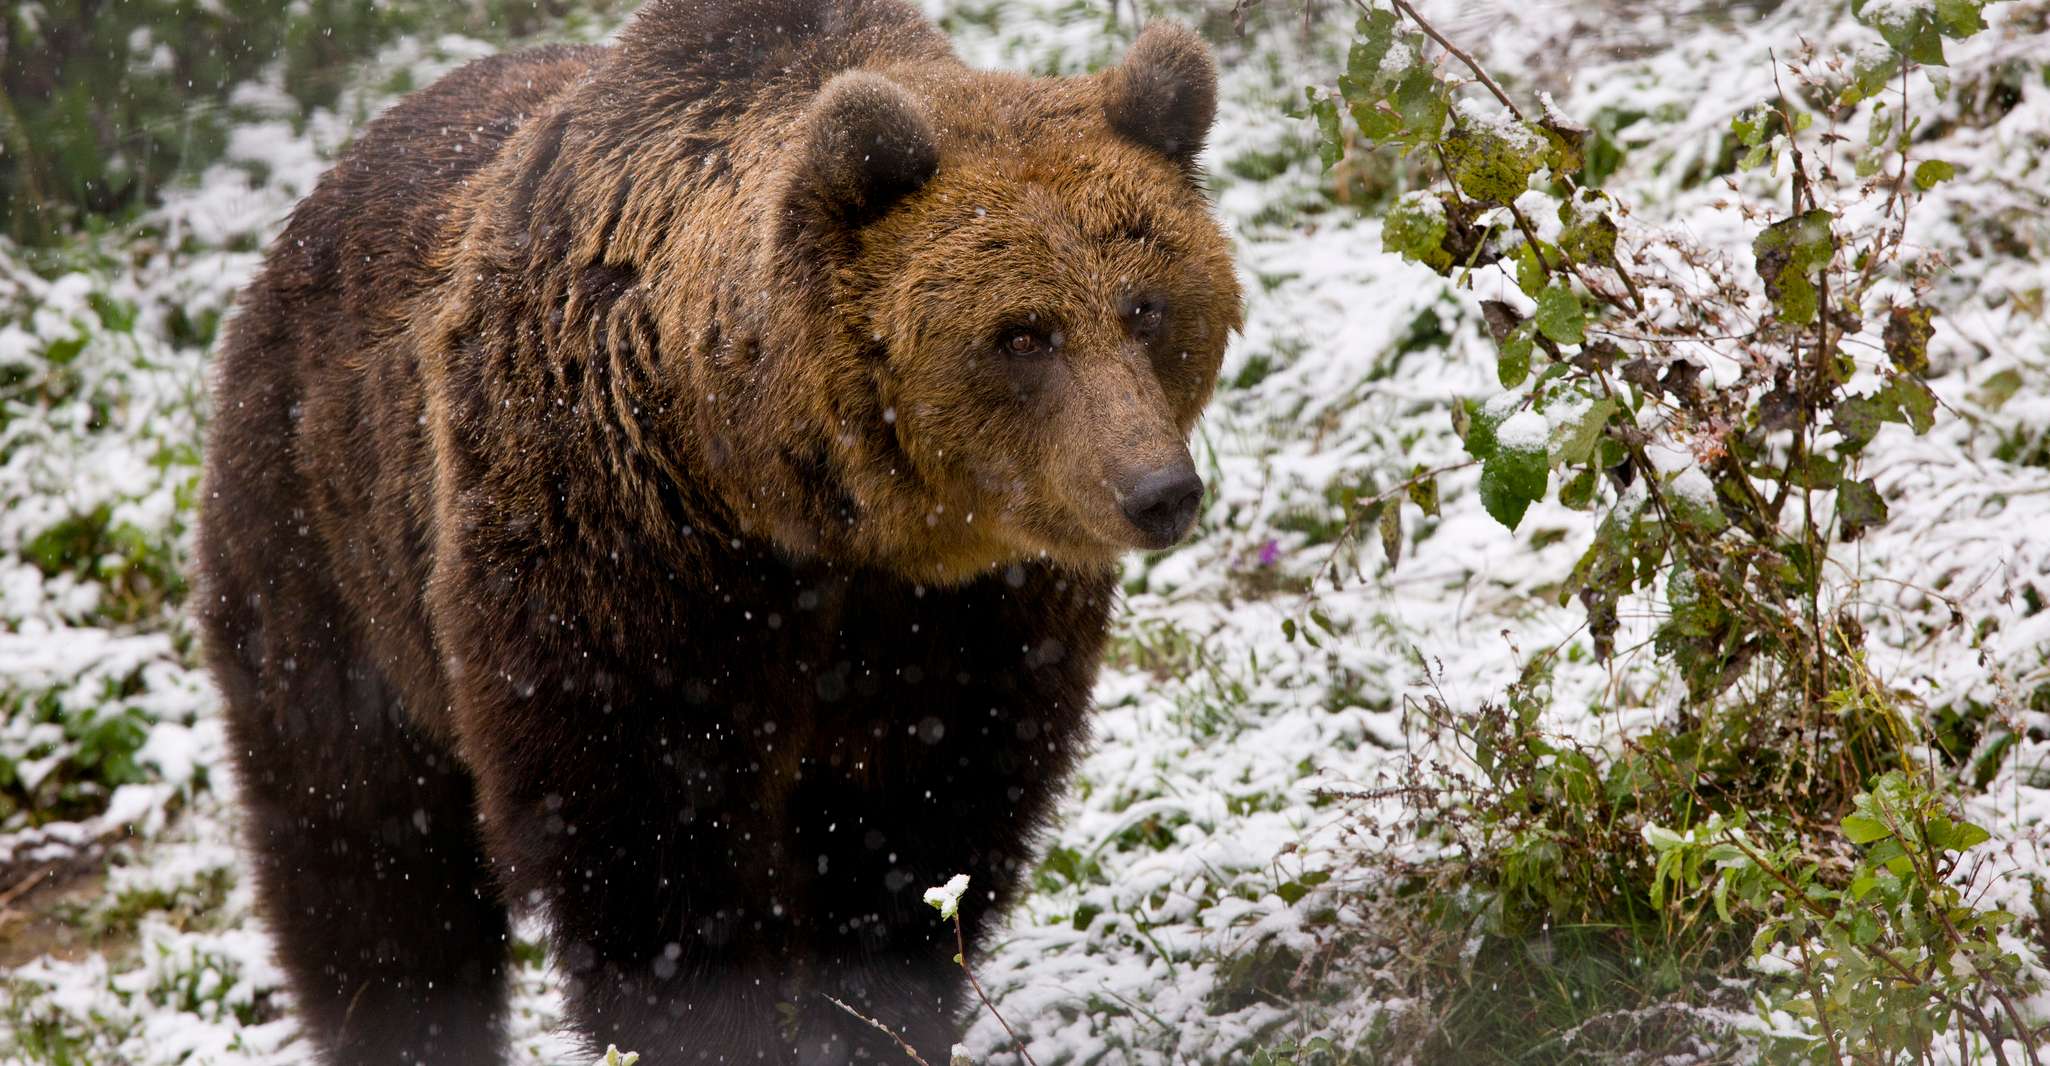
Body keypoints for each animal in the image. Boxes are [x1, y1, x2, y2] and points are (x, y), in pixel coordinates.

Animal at [193, 0, 1240, 1062]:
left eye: (1147, 308)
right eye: (1023, 333)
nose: (1158, 490)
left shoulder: (968, 618)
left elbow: (920, 827)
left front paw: (873, 1016)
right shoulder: (619, 561)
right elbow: (649, 849)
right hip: (324, 547)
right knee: (364, 850)